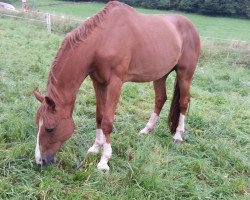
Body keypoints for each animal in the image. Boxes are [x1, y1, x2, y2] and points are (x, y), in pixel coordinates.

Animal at [33, 1, 201, 170]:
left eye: (49, 128)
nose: (40, 161)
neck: (102, 41)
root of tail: (190, 25)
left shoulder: (115, 83)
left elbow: (107, 122)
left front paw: (104, 161)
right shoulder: (98, 82)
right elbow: (99, 116)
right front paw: (95, 148)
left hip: (185, 74)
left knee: (183, 101)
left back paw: (178, 135)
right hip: (160, 75)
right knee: (160, 98)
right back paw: (147, 129)